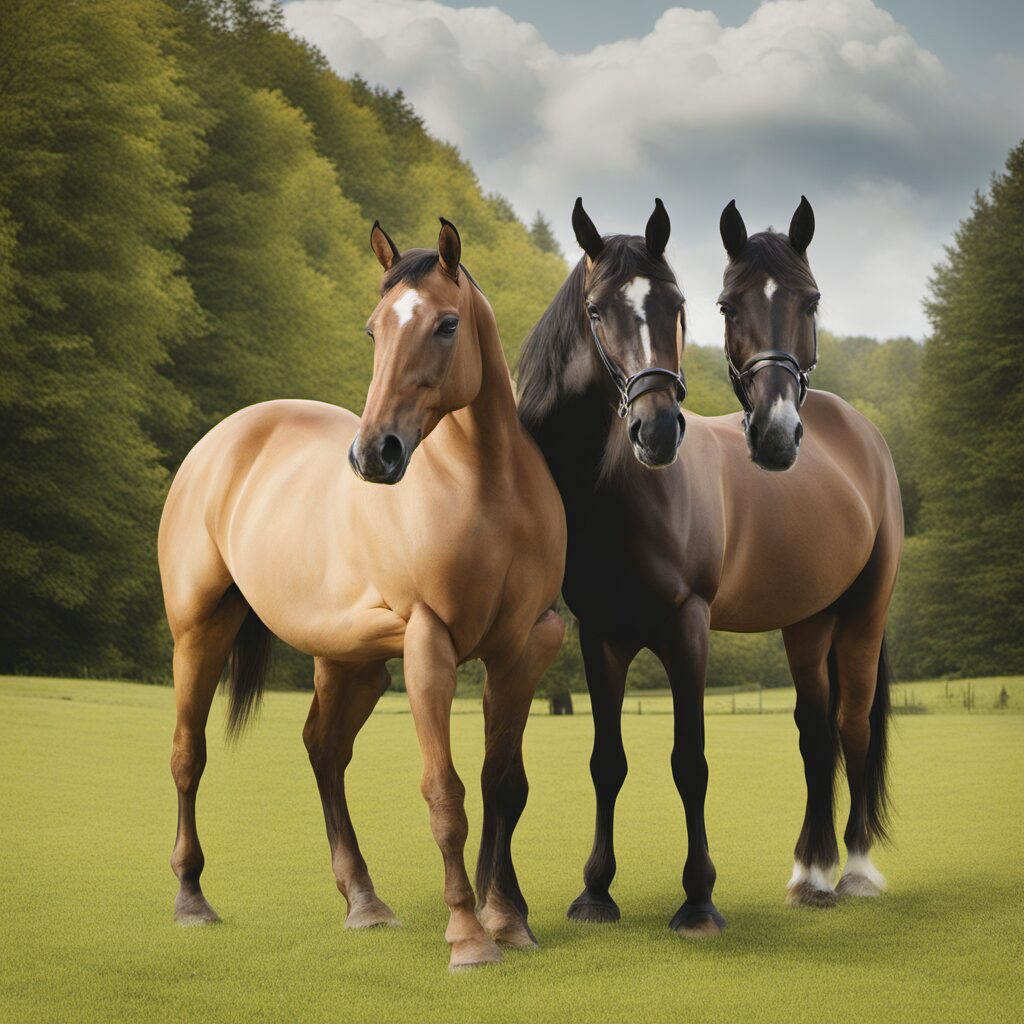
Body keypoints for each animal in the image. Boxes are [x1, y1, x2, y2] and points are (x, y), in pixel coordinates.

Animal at [158, 218, 566, 971]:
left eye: (445, 324)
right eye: (374, 329)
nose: (375, 454)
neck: (488, 492)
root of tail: (223, 439)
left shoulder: (523, 650)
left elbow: (504, 786)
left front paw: (507, 921)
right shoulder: (430, 647)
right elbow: (446, 795)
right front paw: (468, 936)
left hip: (351, 663)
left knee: (324, 750)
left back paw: (364, 902)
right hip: (199, 631)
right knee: (187, 755)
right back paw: (192, 898)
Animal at [516, 197, 903, 935]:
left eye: (679, 306)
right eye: (597, 310)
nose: (659, 430)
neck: (619, 488)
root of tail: (858, 430)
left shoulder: (688, 627)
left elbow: (689, 761)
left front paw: (698, 901)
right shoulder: (600, 637)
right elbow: (606, 762)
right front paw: (595, 891)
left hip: (864, 616)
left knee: (854, 725)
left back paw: (858, 873)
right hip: (807, 624)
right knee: (816, 735)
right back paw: (811, 873)